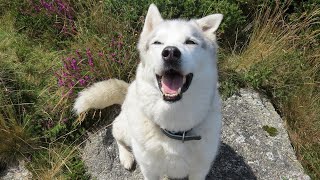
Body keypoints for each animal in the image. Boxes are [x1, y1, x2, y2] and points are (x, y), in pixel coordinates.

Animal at [73, 4, 222, 180]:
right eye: (157, 42)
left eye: (190, 42)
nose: (170, 52)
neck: (174, 125)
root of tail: (128, 89)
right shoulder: (149, 169)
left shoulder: (199, 170)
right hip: (125, 130)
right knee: (116, 133)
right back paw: (126, 156)